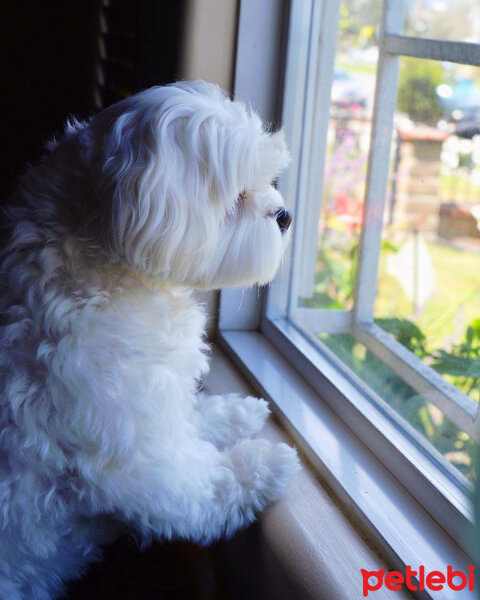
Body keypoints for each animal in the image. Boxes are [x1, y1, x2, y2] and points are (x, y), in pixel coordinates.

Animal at [0, 81, 298, 600]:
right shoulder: (133, 456)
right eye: (235, 196)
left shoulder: (154, 398)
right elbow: (199, 486)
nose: (285, 215)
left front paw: (236, 414)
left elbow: (191, 418)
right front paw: (260, 464)